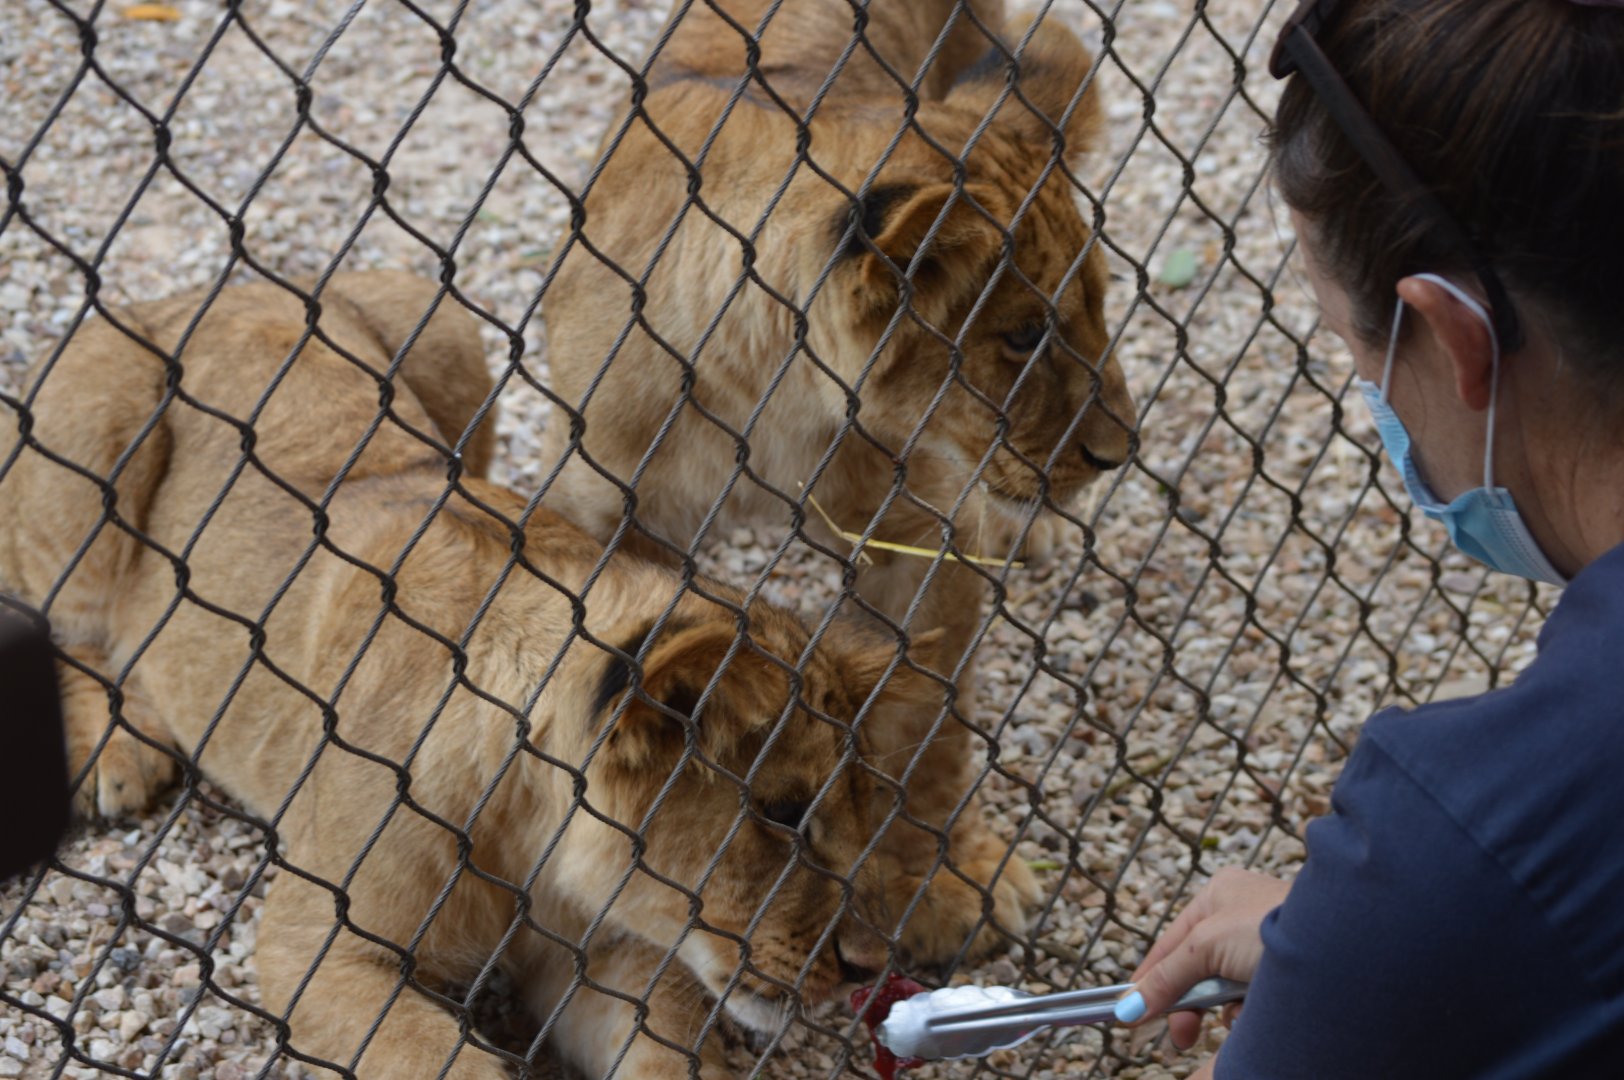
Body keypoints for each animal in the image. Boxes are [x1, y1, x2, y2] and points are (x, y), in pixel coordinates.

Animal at [0, 272, 938, 1079]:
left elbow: (667, 1043)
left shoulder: (609, 951)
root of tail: (227, 283)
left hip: (445, 331)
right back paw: (117, 750)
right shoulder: (322, 948)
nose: (867, 965)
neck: (533, 846)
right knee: (65, 615)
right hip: (92, 437)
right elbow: (439, 1060)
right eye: (783, 815)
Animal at [541, 0, 1138, 964]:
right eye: (1020, 337)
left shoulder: (921, 530)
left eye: (1099, 308)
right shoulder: (610, 507)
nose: (1120, 451)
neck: (775, 401)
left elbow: (925, 732)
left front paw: (943, 883)